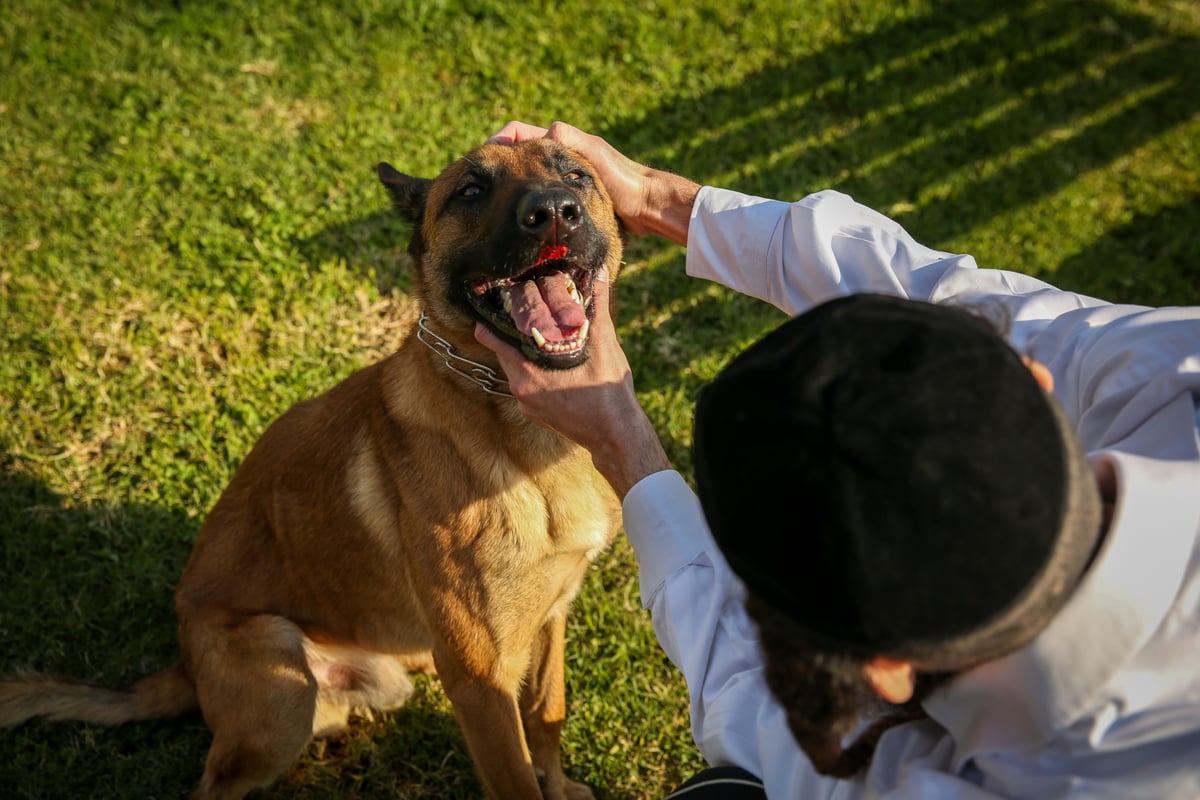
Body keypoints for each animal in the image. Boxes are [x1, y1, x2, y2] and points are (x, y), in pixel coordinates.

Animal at [0, 140, 619, 800]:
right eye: (471, 191)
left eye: (575, 174)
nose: (554, 212)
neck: (509, 413)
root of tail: (186, 664)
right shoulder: (479, 682)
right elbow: (515, 774)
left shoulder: (551, 616)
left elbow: (547, 713)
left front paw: (561, 785)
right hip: (281, 688)